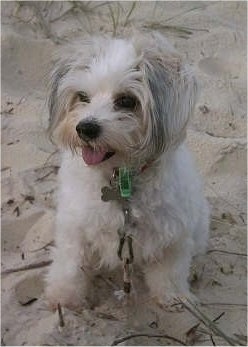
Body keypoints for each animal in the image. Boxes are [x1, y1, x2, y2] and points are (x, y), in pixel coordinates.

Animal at [45, 32, 209, 310]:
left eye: (126, 101)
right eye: (82, 96)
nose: (85, 128)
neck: (120, 177)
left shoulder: (174, 234)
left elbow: (170, 271)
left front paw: (173, 296)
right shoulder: (74, 223)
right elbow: (70, 262)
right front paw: (64, 294)